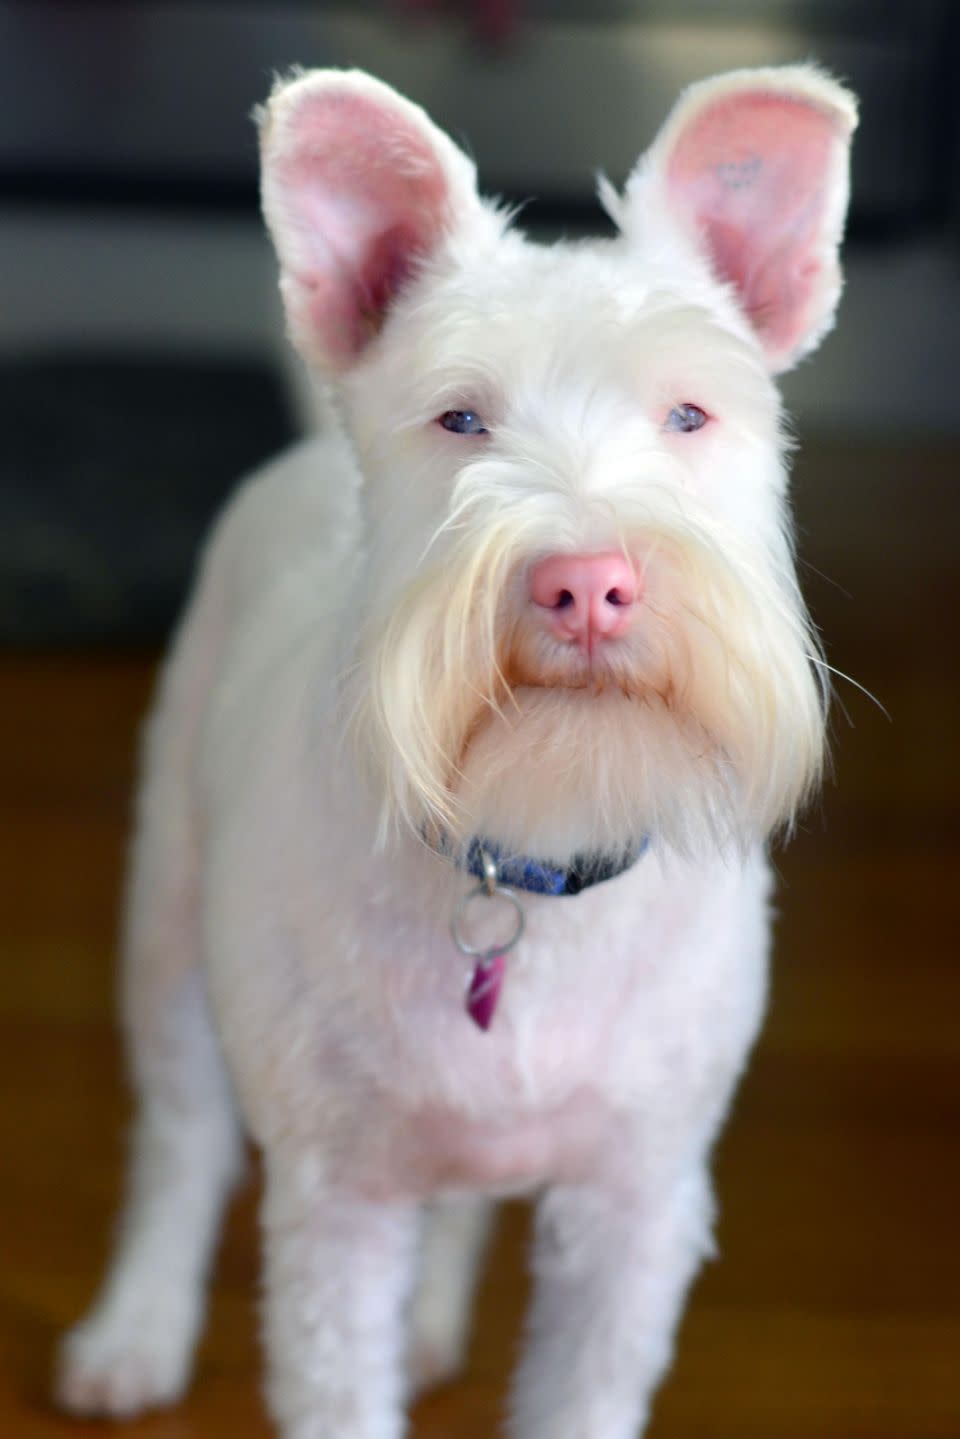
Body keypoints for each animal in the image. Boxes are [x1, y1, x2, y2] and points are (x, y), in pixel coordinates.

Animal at [56, 61, 857, 1433]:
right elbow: (334, 1366)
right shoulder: (336, 1204)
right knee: (179, 1140)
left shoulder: (638, 1211)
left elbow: (581, 1389)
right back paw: (137, 1331)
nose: (588, 586)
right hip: (166, 921)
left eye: (689, 413)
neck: (530, 836)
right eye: (460, 419)